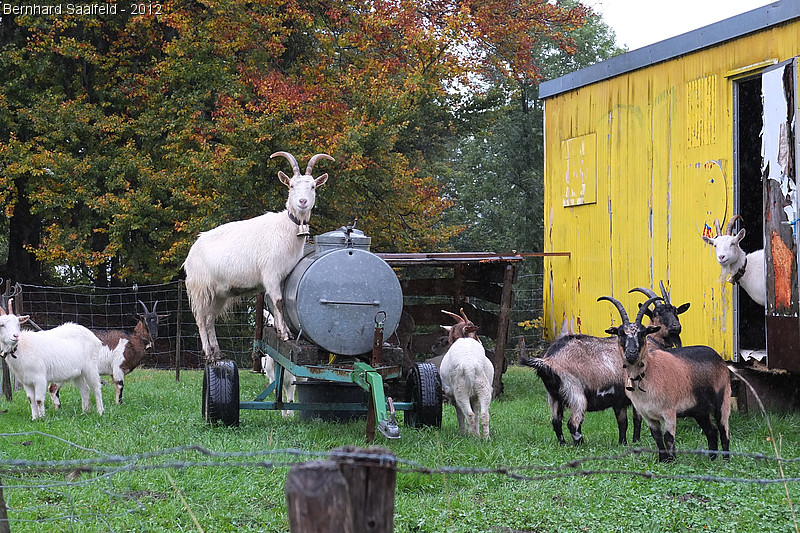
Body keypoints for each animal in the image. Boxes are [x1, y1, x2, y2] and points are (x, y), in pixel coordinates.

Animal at [184, 152, 332, 364]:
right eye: (291, 185)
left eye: (312, 186)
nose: (302, 202)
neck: (286, 229)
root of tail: (191, 252)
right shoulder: (270, 273)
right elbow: (278, 301)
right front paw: (285, 334)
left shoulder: (282, 276)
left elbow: (279, 302)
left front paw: (281, 330)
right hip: (201, 289)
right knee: (201, 320)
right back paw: (209, 354)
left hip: (219, 294)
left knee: (210, 319)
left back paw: (218, 352)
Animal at [438, 308, 494, 436]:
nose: (480, 342)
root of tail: (469, 366)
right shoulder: (475, 397)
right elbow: (477, 411)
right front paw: (477, 433)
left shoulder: (453, 396)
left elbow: (460, 414)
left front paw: (463, 433)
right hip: (483, 388)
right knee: (484, 414)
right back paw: (484, 437)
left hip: (460, 391)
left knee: (469, 414)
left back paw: (471, 437)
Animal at [596, 296, 728, 462]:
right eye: (620, 333)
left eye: (642, 333)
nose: (632, 353)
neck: (649, 372)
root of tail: (717, 356)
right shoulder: (647, 415)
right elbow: (657, 437)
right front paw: (663, 460)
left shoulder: (669, 412)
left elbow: (668, 438)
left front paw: (672, 461)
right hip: (700, 410)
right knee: (712, 431)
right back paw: (712, 458)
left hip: (723, 400)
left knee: (723, 430)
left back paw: (726, 459)